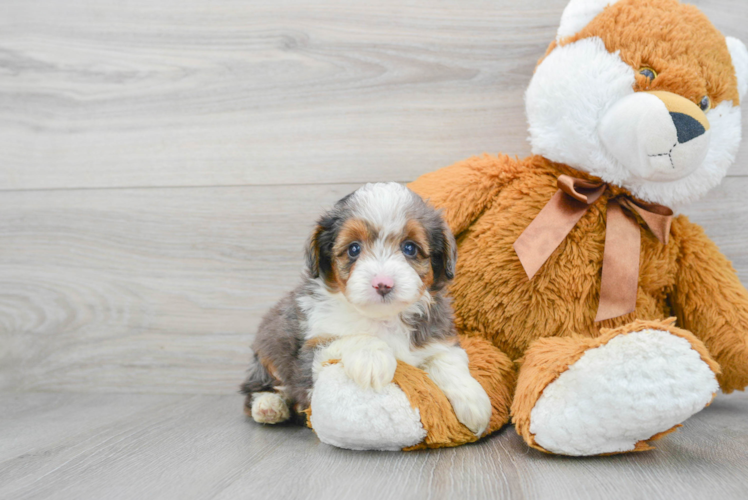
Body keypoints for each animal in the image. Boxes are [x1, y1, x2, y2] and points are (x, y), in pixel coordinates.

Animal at [240, 182, 494, 436]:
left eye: (409, 248)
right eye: (354, 249)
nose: (383, 284)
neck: (383, 318)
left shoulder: (438, 338)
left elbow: (448, 359)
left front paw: (473, 400)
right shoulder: (311, 350)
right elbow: (351, 338)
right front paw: (372, 359)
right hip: (268, 351)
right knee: (257, 386)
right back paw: (269, 405)